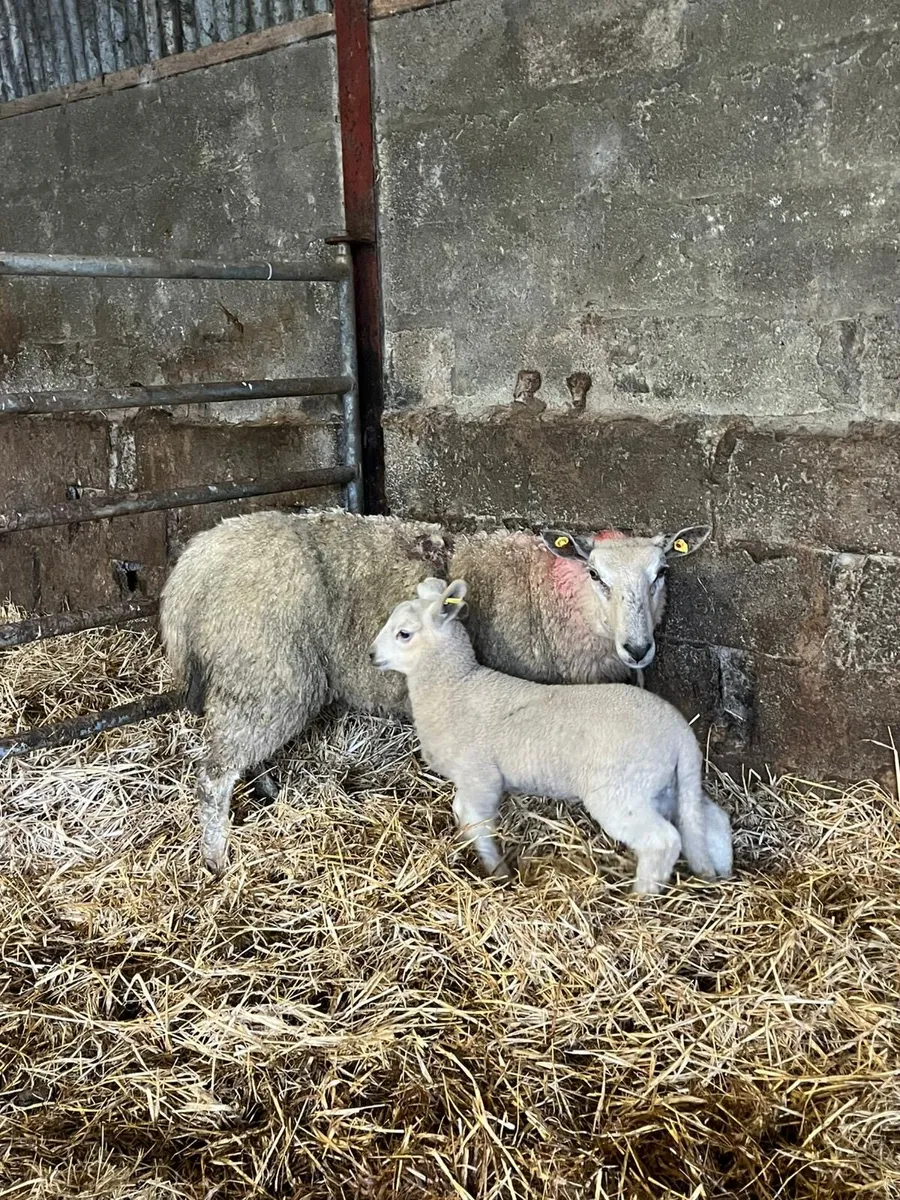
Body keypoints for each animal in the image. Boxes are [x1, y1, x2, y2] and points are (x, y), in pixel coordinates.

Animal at [159, 508, 710, 872]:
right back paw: (216, 860)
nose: (638, 648)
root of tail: (191, 569)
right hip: (264, 668)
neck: (549, 596)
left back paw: (267, 794)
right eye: (595, 573)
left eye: (661, 573)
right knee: (214, 773)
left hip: (257, 676)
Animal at [370, 577, 733, 894]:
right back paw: (718, 872)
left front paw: (496, 871)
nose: (372, 655)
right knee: (708, 821)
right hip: (665, 785)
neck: (454, 686)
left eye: (404, 634)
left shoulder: (479, 776)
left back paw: (641, 897)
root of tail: (680, 733)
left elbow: (474, 819)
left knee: (662, 840)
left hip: (621, 790)